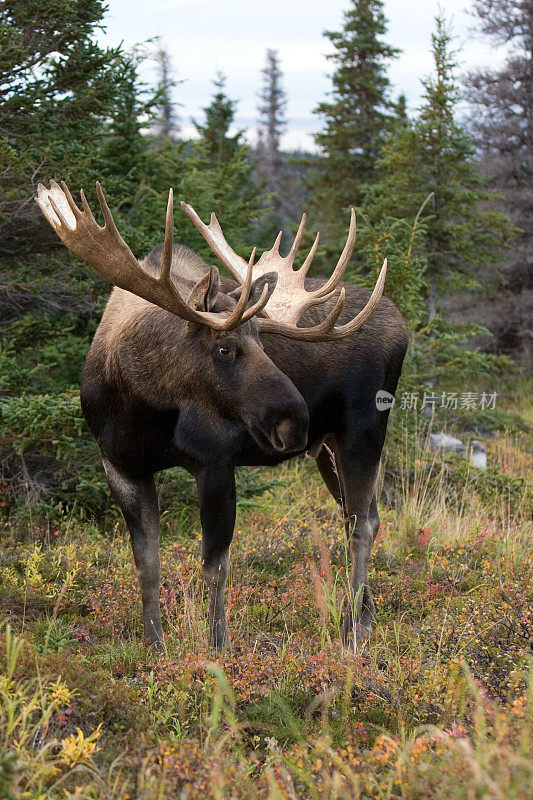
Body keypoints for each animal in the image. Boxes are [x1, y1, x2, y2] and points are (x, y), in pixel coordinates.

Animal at [35, 181, 406, 648]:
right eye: (225, 347)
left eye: (263, 342)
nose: (295, 421)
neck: (141, 407)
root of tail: (402, 326)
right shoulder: (120, 465)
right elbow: (147, 565)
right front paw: (154, 645)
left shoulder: (215, 461)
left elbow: (215, 565)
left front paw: (218, 646)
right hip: (328, 447)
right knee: (364, 516)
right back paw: (366, 618)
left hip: (363, 430)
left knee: (360, 525)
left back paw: (350, 633)